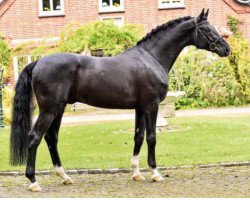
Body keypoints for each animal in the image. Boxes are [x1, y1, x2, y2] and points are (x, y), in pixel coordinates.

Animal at [10, 9, 230, 191]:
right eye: (206, 28)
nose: (226, 49)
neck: (151, 58)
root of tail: (38, 62)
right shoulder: (151, 105)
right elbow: (152, 137)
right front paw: (155, 173)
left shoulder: (140, 108)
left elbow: (138, 137)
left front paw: (136, 173)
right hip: (49, 110)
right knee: (34, 138)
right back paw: (33, 182)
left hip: (59, 109)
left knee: (51, 138)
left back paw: (64, 177)